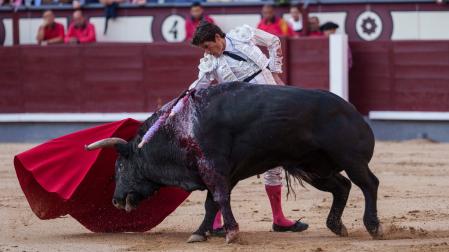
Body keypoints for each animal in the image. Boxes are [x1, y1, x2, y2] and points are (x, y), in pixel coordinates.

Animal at [85, 82, 382, 242]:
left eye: (119, 167)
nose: (115, 200)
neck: (179, 128)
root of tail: (353, 111)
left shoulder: (213, 169)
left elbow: (219, 199)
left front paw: (231, 233)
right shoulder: (219, 173)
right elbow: (211, 204)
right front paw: (200, 233)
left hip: (351, 159)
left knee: (368, 183)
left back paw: (374, 226)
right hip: (313, 167)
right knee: (342, 187)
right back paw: (337, 226)